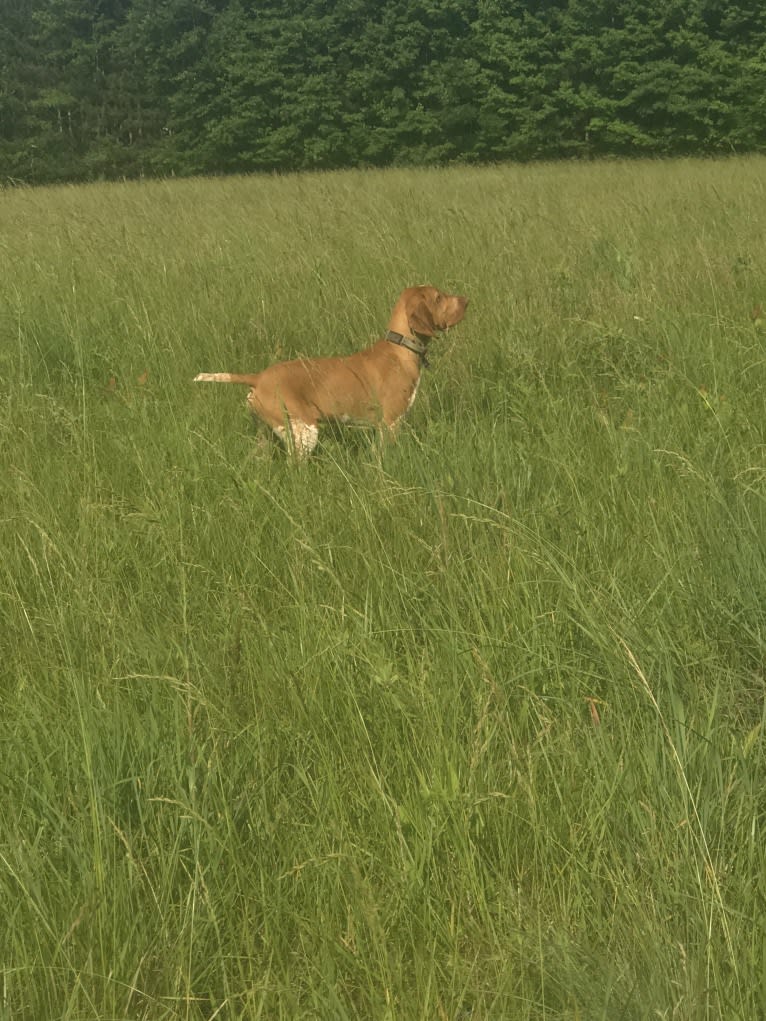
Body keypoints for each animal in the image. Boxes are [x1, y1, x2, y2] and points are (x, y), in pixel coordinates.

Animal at [193, 281, 467, 453]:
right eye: (438, 297)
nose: (466, 300)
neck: (399, 348)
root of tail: (259, 377)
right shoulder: (390, 423)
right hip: (303, 433)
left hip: (265, 438)